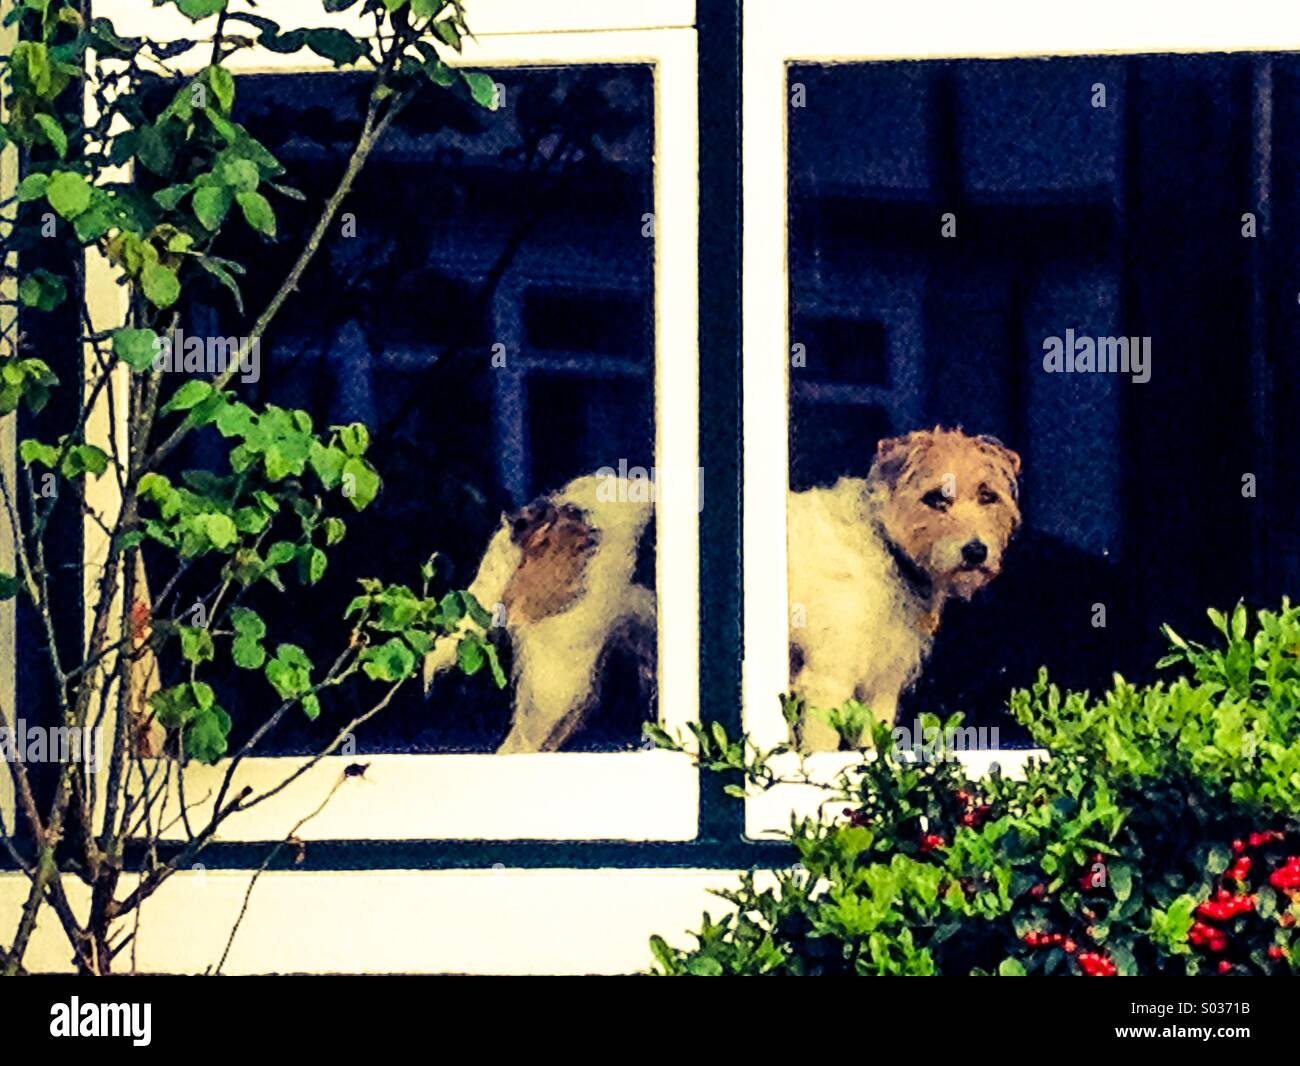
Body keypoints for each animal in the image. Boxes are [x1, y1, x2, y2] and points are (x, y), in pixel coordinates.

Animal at [423, 428, 1013, 754]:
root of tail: (551, 507)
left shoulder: (880, 692)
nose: (976, 551)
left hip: (568, 691)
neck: (886, 543)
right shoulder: (828, 683)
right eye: (937, 498)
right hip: (556, 679)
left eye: (988, 495)